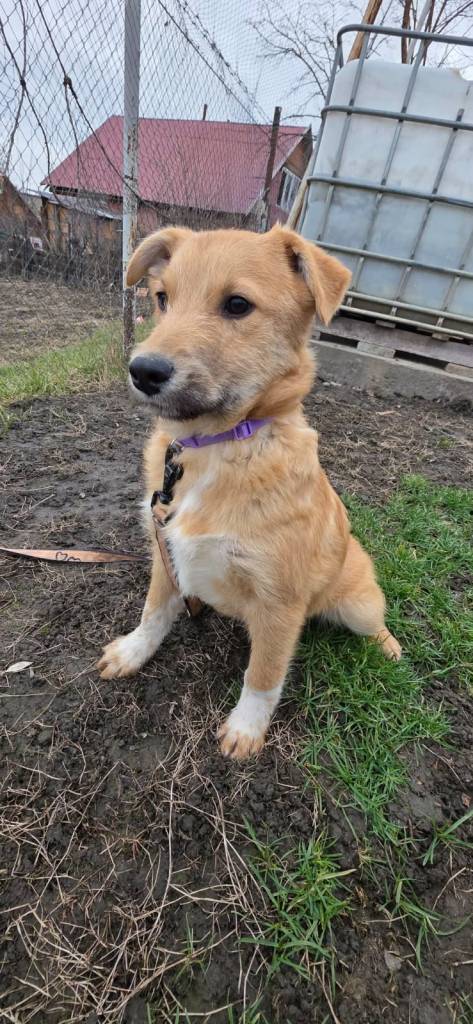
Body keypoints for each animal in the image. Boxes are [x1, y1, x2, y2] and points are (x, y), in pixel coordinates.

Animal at [98, 225, 401, 758]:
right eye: (162, 298)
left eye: (237, 304)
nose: (143, 371)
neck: (215, 447)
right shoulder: (164, 551)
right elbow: (153, 612)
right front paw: (134, 651)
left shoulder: (280, 602)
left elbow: (263, 674)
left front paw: (246, 728)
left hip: (359, 605)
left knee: (375, 622)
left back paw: (389, 648)